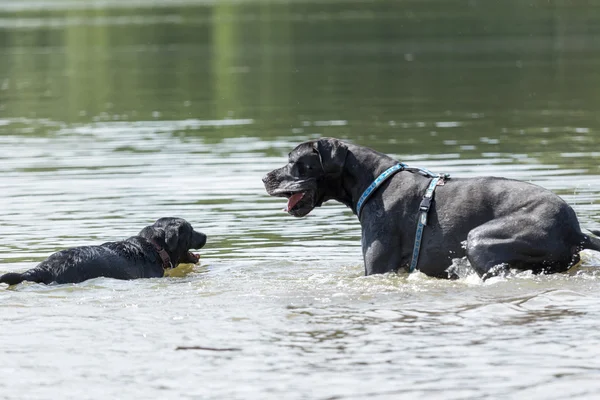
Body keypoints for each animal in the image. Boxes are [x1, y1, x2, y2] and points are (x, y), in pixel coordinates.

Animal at [262, 139, 600, 280]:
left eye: (294, 161)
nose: (265, 178)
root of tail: (576, 231)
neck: (374, 182)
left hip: (480, 240)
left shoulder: (377, 270)